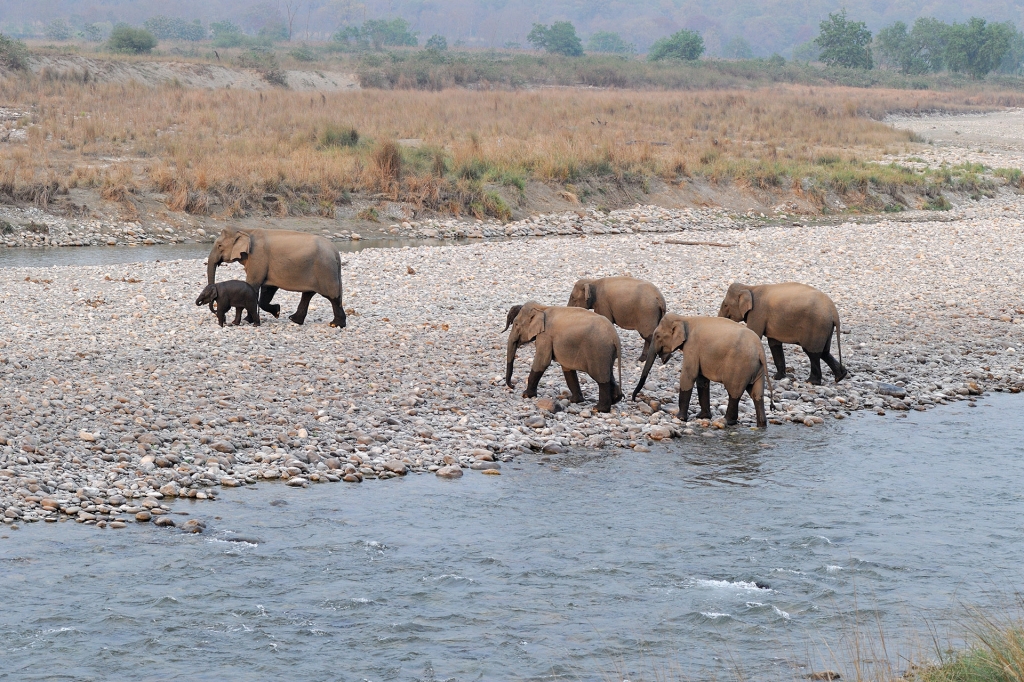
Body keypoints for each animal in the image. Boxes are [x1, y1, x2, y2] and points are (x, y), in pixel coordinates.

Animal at [205, 225, 346, 327]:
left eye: (219, 246)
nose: (223, 319)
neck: (246, 230)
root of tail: (336, 252)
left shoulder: (258, 257)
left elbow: (253, 285)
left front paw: (247, 320)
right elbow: (267, 290)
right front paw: (277, 311)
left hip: (325, 270)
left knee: (332, 296)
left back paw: (335, 325)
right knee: (308, 294)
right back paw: (294, 320)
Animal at [630, 313, 770, 425]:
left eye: (658, 336)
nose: (633, 399)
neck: (684, 319)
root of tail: (760, 349)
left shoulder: (692, 346)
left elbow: (689, 375)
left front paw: (680, 418)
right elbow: (702, 380)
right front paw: (702, 417)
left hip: (740, 366)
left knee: (734, 392)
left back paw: (727, 421)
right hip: (757, 368)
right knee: (756, 394)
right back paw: (761, 424)